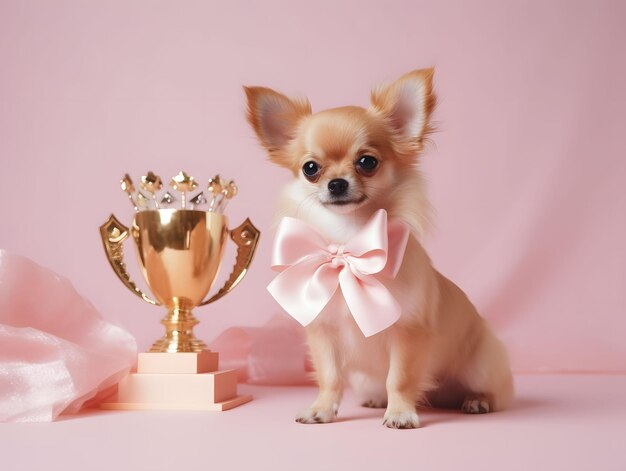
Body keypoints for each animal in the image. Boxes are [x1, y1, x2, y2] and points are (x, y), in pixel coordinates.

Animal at [244, 69, 512, 428]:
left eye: (367, 162)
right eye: (310, 168)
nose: (337, 183)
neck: (348, 239)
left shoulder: (408, 331)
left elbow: (399, 378)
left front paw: (400, 413)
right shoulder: (324, 332)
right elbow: (330, 377)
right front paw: (321, 409)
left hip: (481, 364)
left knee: (493, 391)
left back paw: (477, 400)